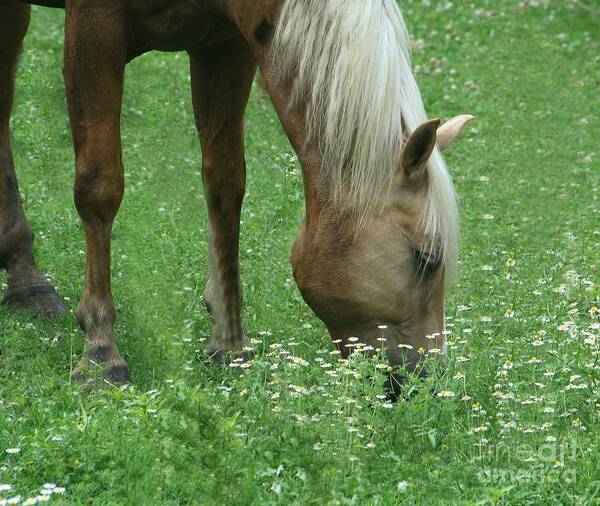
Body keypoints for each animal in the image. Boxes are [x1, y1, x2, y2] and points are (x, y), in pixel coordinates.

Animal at [1, 0, 474, 386]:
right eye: (426, 259)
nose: (427, 381)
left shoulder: (225, 45)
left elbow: (225, 184)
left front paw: (228, 344)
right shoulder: (94, 30)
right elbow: (100, 188)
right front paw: (100, 353)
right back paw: (28, 281)